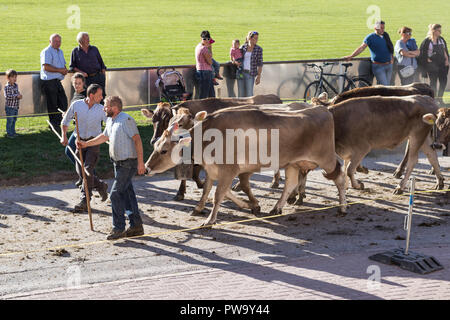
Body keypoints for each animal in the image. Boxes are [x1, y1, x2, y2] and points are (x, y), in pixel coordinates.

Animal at [146, 106, 346, 226]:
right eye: (155, 147)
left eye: (164, 150)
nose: (146, 168)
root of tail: (322, 109)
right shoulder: (212, 170)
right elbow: (209, 191)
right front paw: (200, 208)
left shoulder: (229, 169)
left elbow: (217, 195)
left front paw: (210, 220)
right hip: (293, 163)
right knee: (290, 183)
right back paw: (276, 207)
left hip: (326, 158)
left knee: (340, 176)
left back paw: (343, 207)